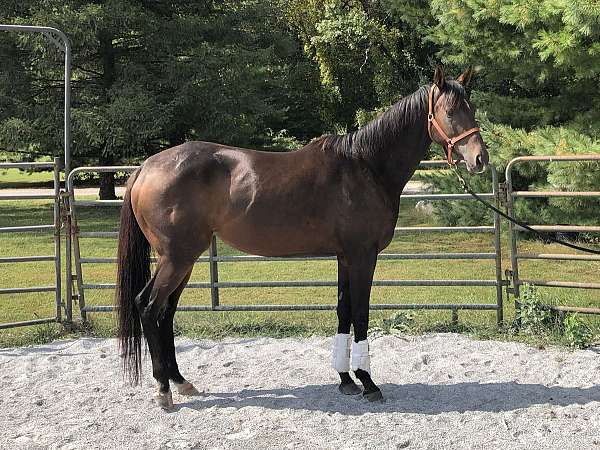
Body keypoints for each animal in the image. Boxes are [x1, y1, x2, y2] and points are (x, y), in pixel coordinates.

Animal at [116, 66, 488, 408]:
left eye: (472, 108)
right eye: (450, 112)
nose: (480, 158)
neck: (366, 166)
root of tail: (145, 168)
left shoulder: (345, 256)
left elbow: (343, 311)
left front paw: (345, 380)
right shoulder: (363, 256)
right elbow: (360, 313)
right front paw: (368, 382)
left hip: (185, 259)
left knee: (165, 313)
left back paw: (181, 382)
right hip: (177, 258)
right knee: (148, 306)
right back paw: (163, 390)